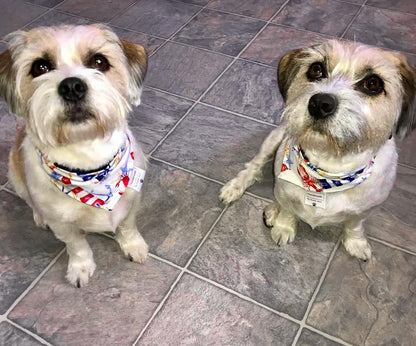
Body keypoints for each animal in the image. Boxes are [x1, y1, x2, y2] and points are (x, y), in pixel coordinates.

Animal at [0, 25, 150, 286]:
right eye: (40, 67)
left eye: (99, 61)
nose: (71, 87)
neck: (90, 165)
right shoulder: (62, 225)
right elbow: (77, 246)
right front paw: (80, 268)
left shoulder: (132, 200)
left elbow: (128, 226)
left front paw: (134, 246)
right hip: (14, 174)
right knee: (29, 200)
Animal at [219, 39, 414, 260]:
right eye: (316, 69)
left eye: (373, 83)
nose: (320, 103)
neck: (327, 171)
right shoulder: (286, 192)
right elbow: (288, 210)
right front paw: (284, 227)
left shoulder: (365, 210)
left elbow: (354, 225)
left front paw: (356, 243)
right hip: (273, 140)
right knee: (253, 167)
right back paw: (239, 190)